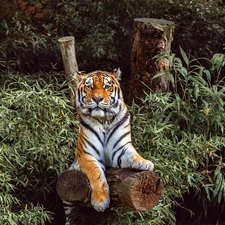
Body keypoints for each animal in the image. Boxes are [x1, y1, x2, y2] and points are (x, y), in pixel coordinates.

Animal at [63, 69, 155, 224]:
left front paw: (144, 163)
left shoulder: (120, 150)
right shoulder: (86, 155)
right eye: (89, 87)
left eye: (107, 87)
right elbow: (96, 172)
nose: (97, 99)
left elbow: (132, 153)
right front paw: (100, 202)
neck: (104, 119)